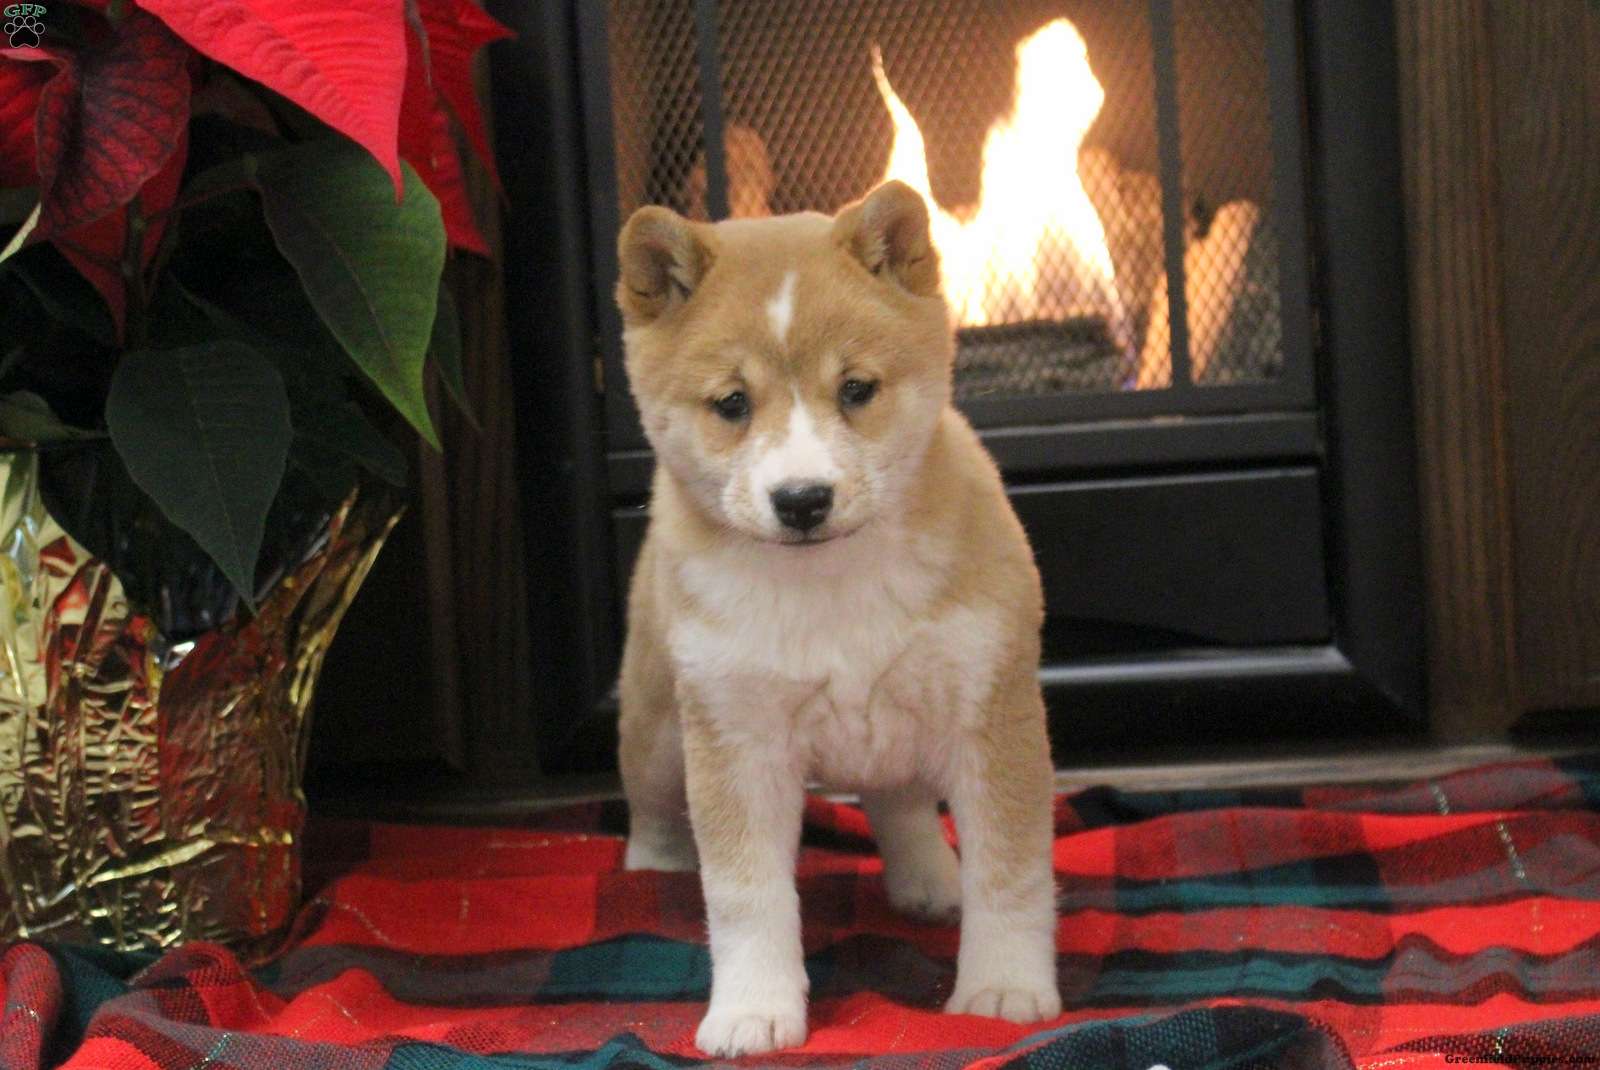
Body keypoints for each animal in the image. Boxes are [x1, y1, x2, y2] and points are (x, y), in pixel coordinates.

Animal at [615, 180, 1060, 1057]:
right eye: (732, 403)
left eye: (856, 389)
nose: (802, 499)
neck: (832, 586)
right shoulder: (736, 738)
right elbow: (745, 896)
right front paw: (752, 1011)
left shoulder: (992, 713)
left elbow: (1010, 871)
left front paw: (1003, 991)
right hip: (657, 729)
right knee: (651, 805)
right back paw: (650, 874)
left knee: (901, 804)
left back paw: (931, 881)